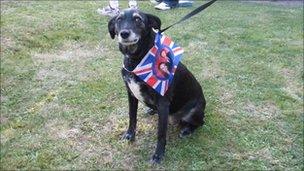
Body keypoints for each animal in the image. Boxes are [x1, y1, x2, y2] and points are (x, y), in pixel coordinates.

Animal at [107, 8, 207, 164]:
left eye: (138, 19)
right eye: (119, 19)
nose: (124, 33)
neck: (137, 59)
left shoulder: (163, 103)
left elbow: (161, 133)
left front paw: (158, 155)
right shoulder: (131, 94)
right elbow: (132, 117)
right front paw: (130, 135)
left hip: (193, 112)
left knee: (200, 122)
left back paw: (186, 130)